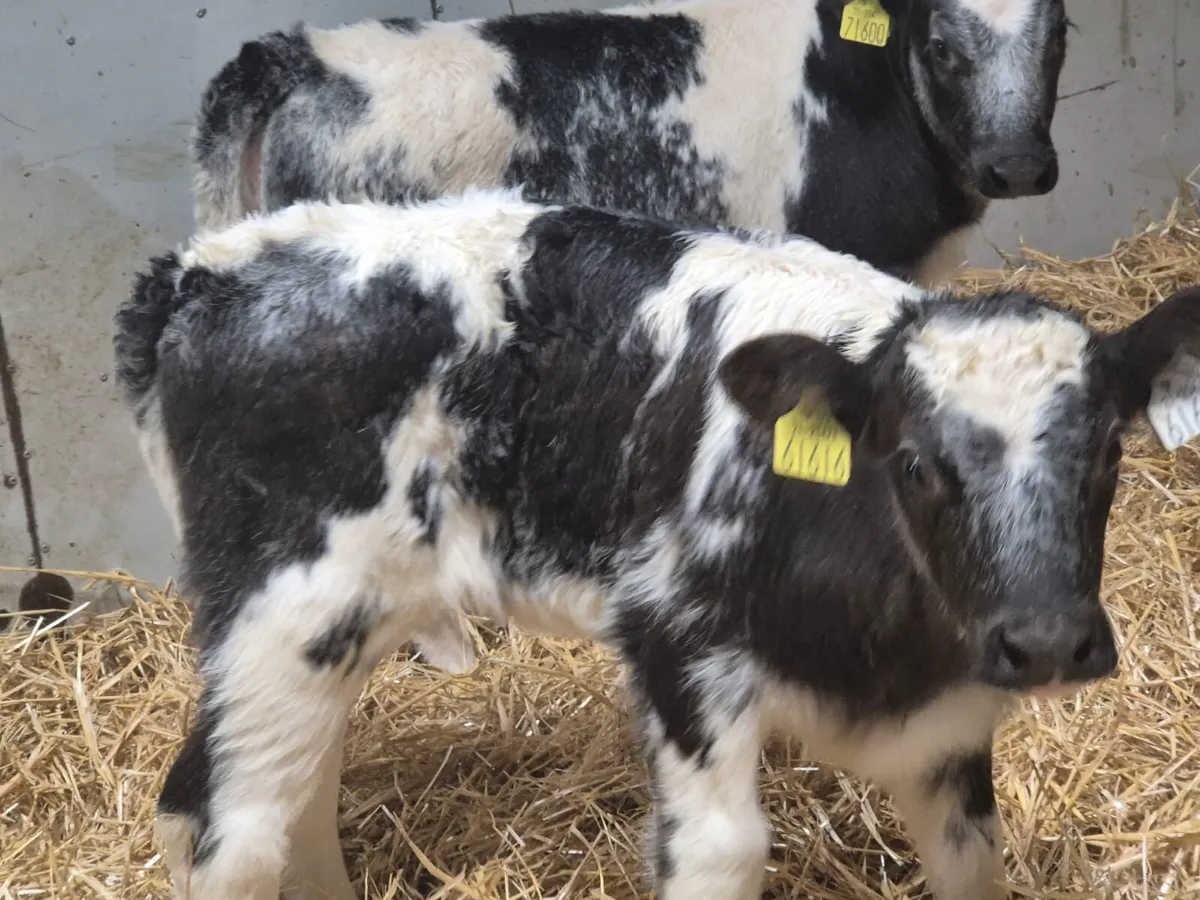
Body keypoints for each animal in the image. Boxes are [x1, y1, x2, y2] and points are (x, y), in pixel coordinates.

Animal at [113, 188, 1200, 900]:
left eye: (1110, 448)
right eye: (915, 462)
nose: (1047, 640)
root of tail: (203, 269)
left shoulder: (951, 724)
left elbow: (972, 861)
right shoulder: (677, 643)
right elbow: (720, 852)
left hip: (336, 621)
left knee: (286, 792)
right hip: (283, 605)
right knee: (219, 823)